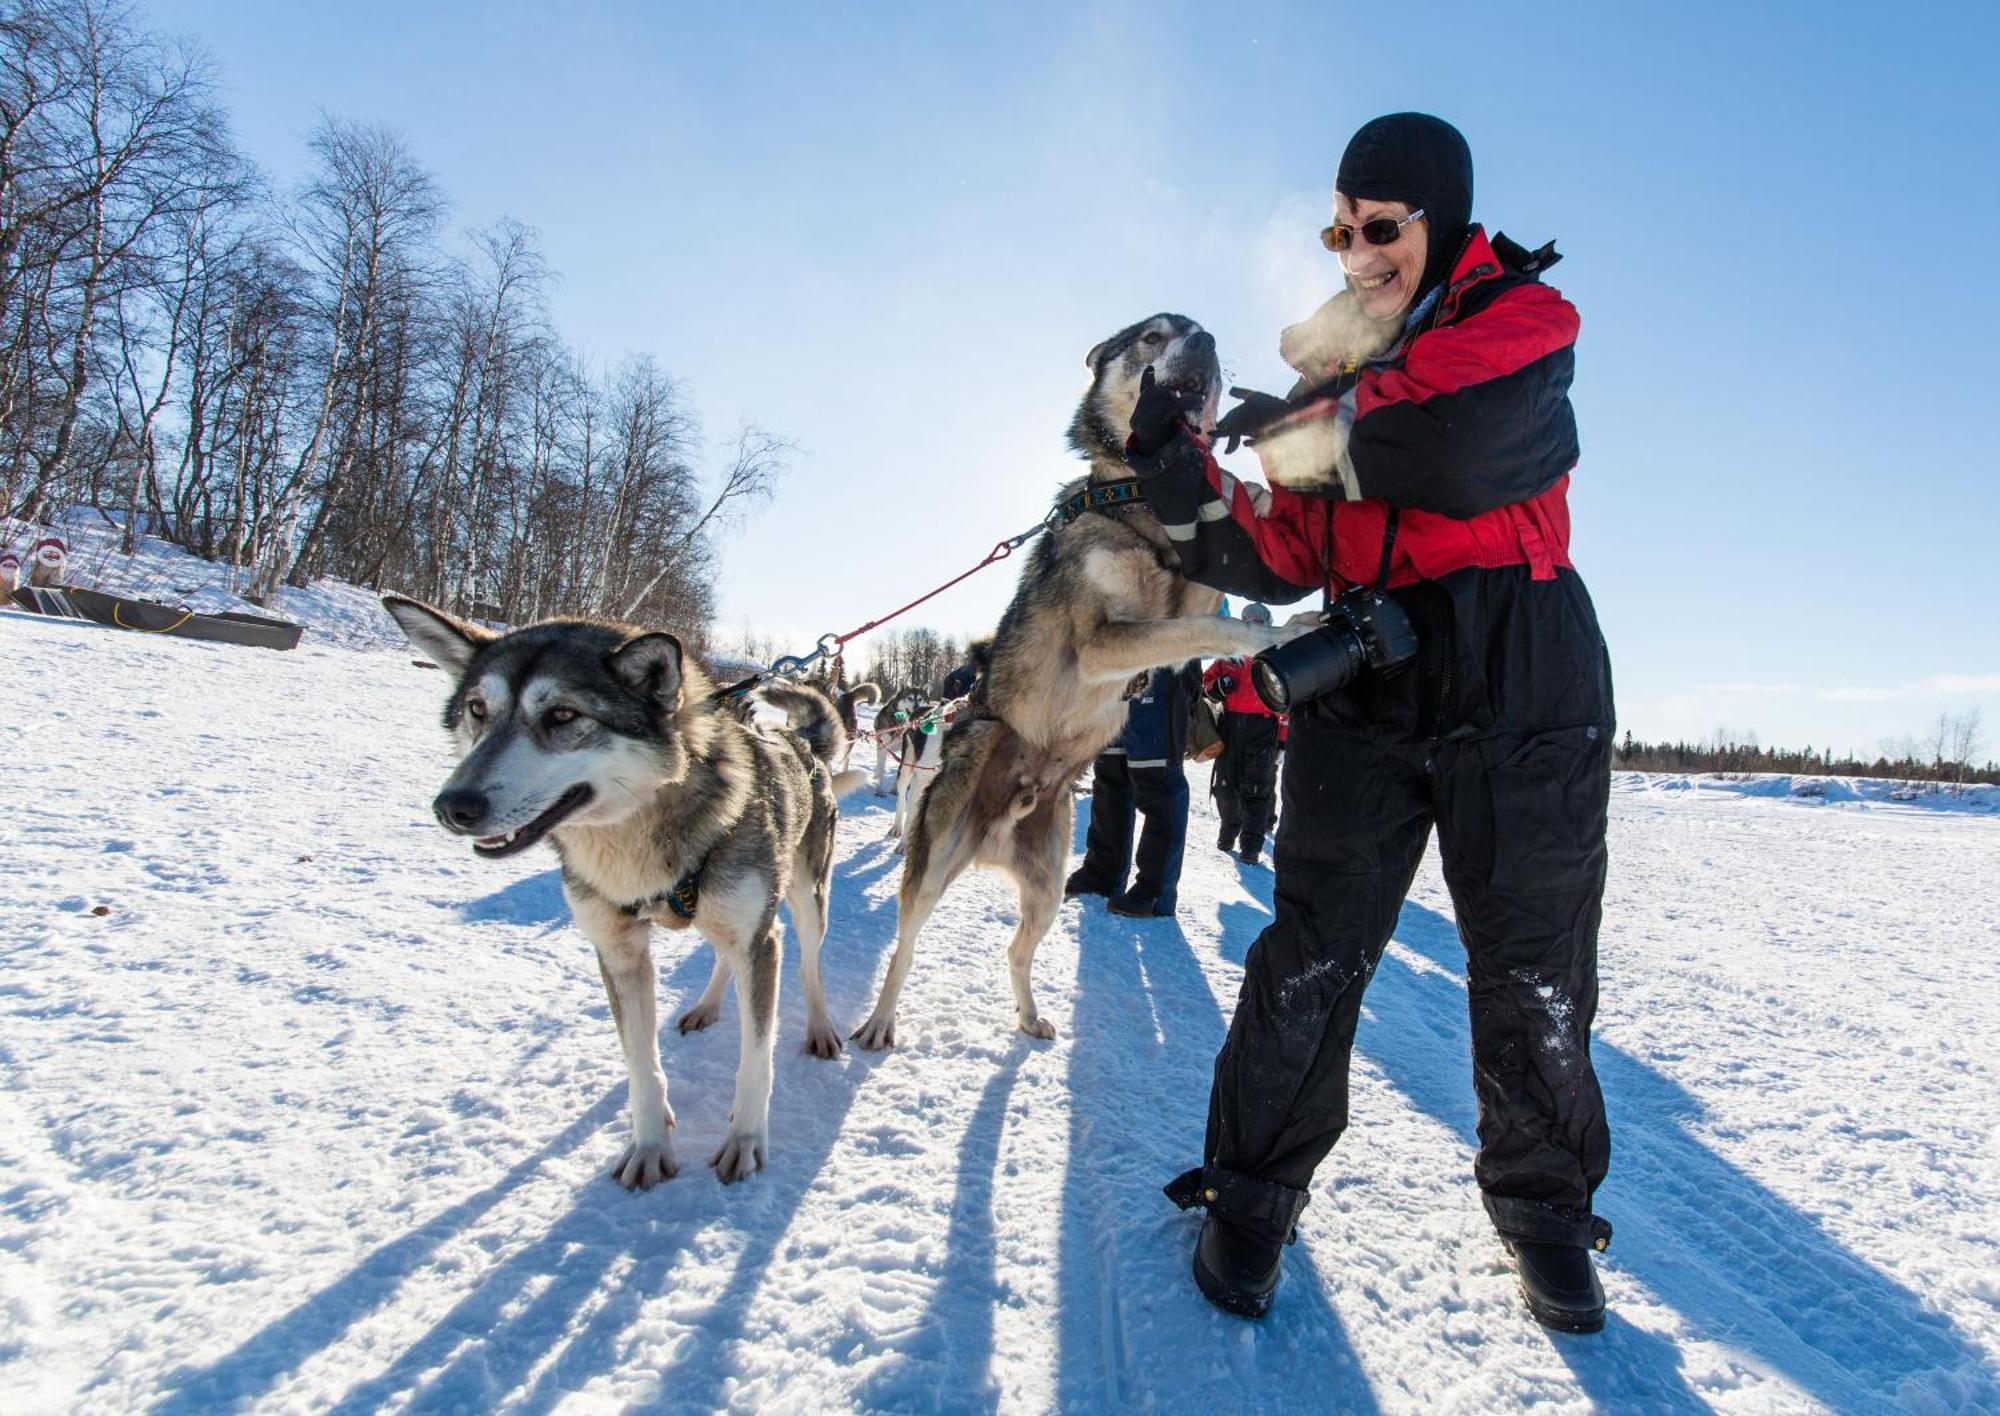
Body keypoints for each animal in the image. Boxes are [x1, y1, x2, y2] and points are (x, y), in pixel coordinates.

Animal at [386, 596, 864, 1184]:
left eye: (563, 715)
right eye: (478, 709)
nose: (454, 807)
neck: (639, 837)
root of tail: (803, 746)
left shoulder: (760, 938)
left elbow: (756, 1059)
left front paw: (746, 1139)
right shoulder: (619, 951)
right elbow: (641, 1063)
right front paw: (649, 1144)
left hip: (802, 900)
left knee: (807, 965)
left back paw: (819, 1026)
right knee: (722, 957)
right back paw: (706, 1006)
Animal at [856, 320, 1312, 1048]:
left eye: (1198, 331)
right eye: (1155, 333)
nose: (1206, 340)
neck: (1138, 503)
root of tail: (994, 832)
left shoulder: (1194, 587)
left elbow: (1213, 589)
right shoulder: (1104, 643)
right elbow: (1211, 629)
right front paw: (1282, 632)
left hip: (1044, 891)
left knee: (1016, 951)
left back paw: (1030, 1015)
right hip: (931, 868)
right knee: (903, 947)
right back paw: (879, 1021)